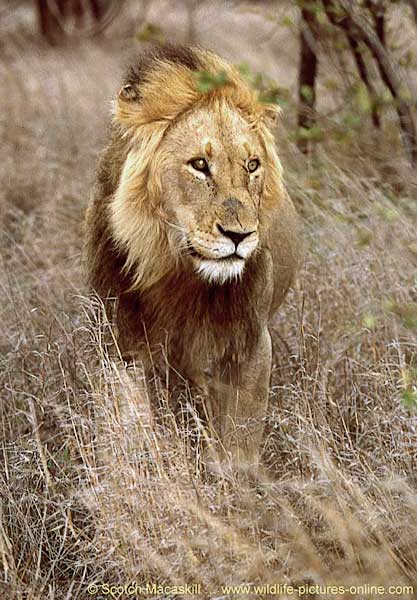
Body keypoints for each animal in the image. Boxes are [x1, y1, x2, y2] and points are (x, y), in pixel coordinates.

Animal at [85, 44, 300, 472]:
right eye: (200, 165)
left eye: (252, 165)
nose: (240, 236)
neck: (175, 268)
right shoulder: (122, 343)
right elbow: (131, 423)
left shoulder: (250, 343)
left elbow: (239, 444)